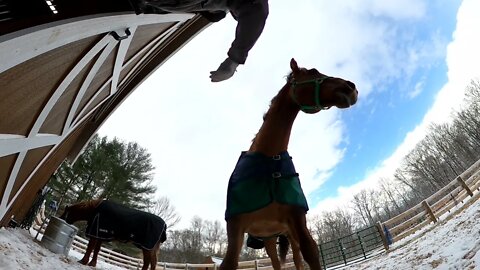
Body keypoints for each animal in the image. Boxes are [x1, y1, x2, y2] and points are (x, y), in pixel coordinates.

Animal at [220, 58, 356, 268]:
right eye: (312, 72)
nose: (350, 87)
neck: (268, 162)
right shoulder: (235, 228)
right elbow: (229, 263)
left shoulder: (297, 222)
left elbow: (310, 253)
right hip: (268, 239)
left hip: (289, 234)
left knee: (297, 260)